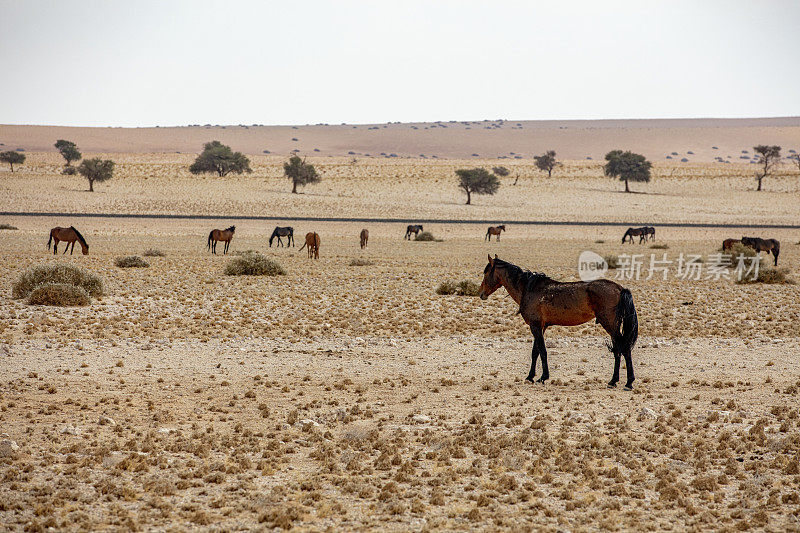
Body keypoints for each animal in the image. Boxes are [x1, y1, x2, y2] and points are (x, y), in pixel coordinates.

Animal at [478, 256, 640, 388]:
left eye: (486, 272)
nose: (481, 293)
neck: (529, 288)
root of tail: (620, 288)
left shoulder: (535, 326)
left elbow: (542, 351)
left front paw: (543, 377)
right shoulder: (541, 327)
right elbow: (535, 352)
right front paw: (530, 376)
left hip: (610, 325)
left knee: (623, 349)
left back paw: (627, 382)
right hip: (613, 326)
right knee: (618, 349)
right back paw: (615, 381)